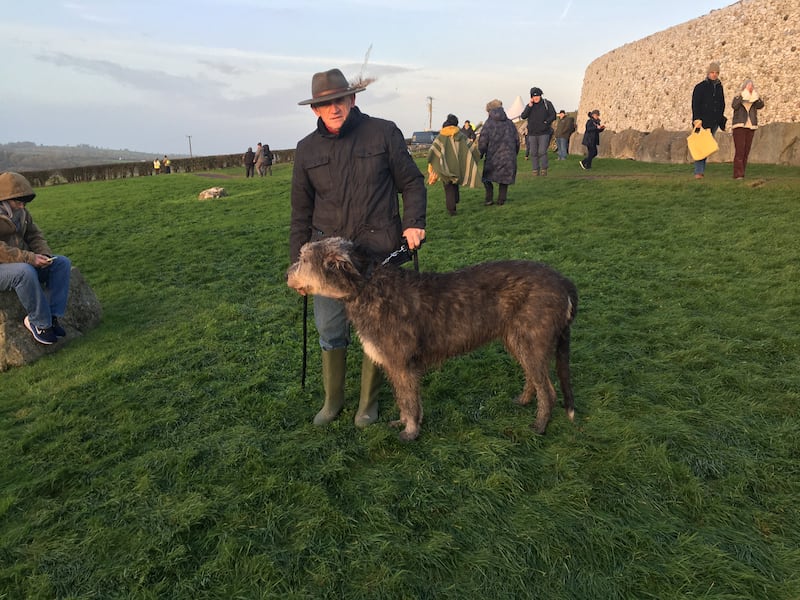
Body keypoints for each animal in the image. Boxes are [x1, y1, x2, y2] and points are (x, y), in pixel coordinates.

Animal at [290, 238, 580, 440]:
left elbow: (408, 399)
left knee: (549, 390)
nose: (287, 274)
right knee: (534, 378)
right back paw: (524, 400)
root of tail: (563, 281)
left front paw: (410, 432)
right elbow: (405, 399)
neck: (366, 287)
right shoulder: (395, 365)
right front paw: (405, 421)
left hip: (532, 341)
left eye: (304, 260)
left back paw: (540, 425)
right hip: (518, 341)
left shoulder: (402, 364)